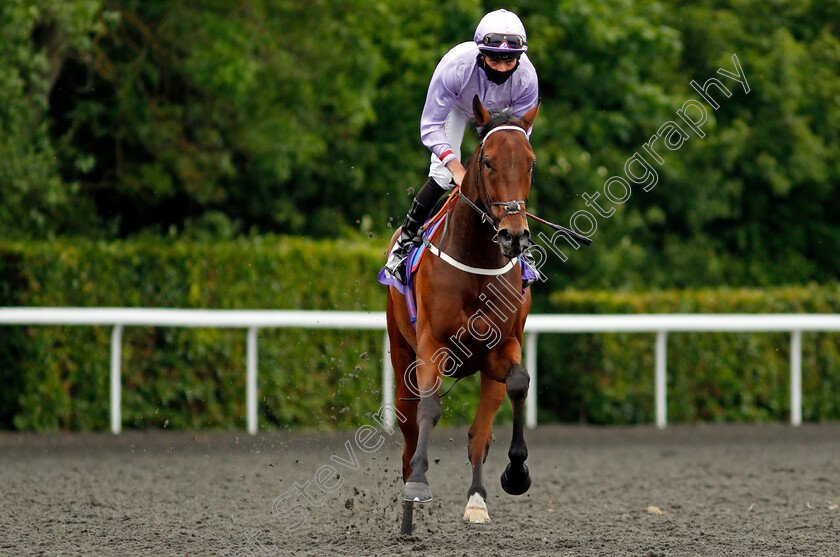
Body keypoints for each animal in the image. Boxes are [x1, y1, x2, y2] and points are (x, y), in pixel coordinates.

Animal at [386, 96, 540, 536]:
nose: (513, 235)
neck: (477, 263)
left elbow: (518, 385)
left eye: (530, 162)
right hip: (400, 352)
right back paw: (408, 511)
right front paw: (418, 487)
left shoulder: (501, 348)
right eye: (487, 161)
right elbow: (429, 411)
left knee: (478, 435)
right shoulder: (431, 345)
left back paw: (476, 501)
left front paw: (516, 474)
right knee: (409, 432)